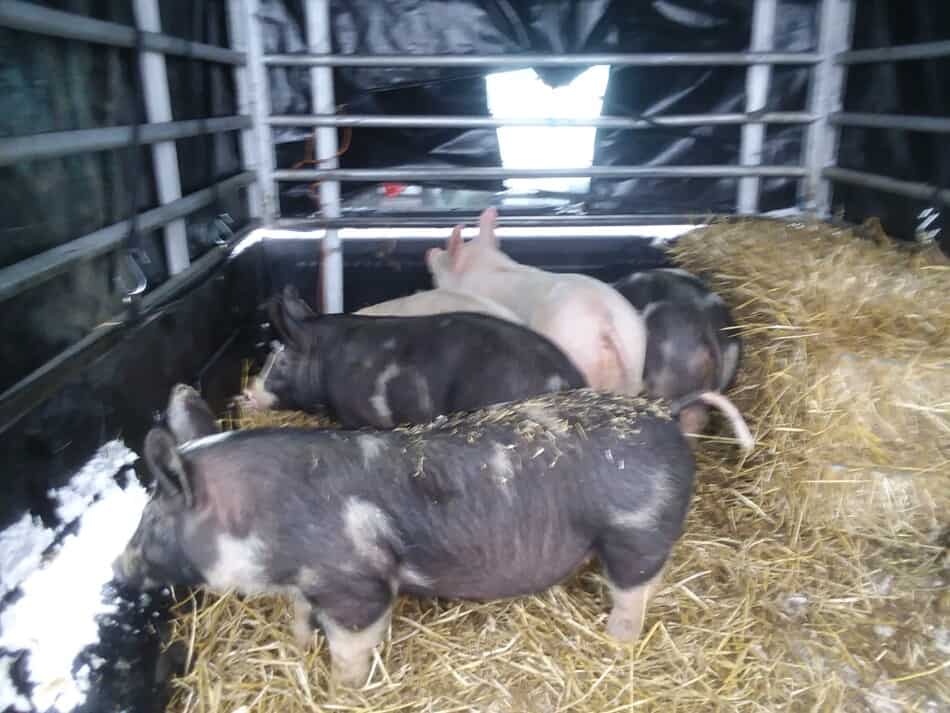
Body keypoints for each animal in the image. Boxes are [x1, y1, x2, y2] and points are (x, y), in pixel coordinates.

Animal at [113, 386, 700, 688]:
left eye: (153, 521)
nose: (119, 567)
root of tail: (664, 414)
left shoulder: (357, 584)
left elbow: (352, 643)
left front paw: (341, 689)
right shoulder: (305, 583)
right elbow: (301, 617)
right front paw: (301, 648)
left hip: (636, 532)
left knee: (634, 591)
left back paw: (617, 640)